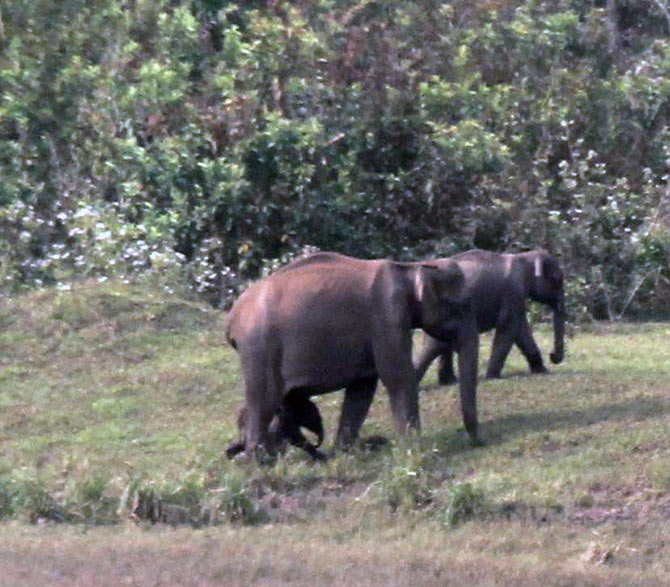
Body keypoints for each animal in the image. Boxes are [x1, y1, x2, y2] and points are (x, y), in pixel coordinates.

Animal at [228, 250, 480, 458]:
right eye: (460, 305)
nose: (476, 442)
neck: (410, 268)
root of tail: (232, 318)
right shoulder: (387, 318)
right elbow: (398, 377)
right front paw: (414, 447)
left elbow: (363, 387)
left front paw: (345, 452)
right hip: (259, 349)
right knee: (264, 400)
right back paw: (261, 461)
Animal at [414, 249, 568, 384]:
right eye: (557, 279)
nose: (552, 355)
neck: (524, 256)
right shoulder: (513, 292)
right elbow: (508, 327)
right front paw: (492, 377)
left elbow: (521, 330)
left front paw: (542, 371)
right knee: (434, 346)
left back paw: (449, 382)